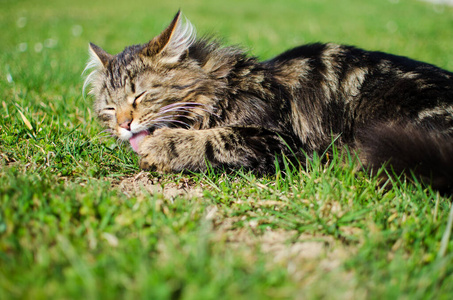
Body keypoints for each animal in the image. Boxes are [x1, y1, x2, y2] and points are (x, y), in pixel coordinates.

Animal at [84, 11, 452, 190]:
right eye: (109, 109)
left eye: (140, 95)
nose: (124, 125)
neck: (222, 84)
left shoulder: (280, 140)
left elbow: (214, 139)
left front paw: (161, 146)